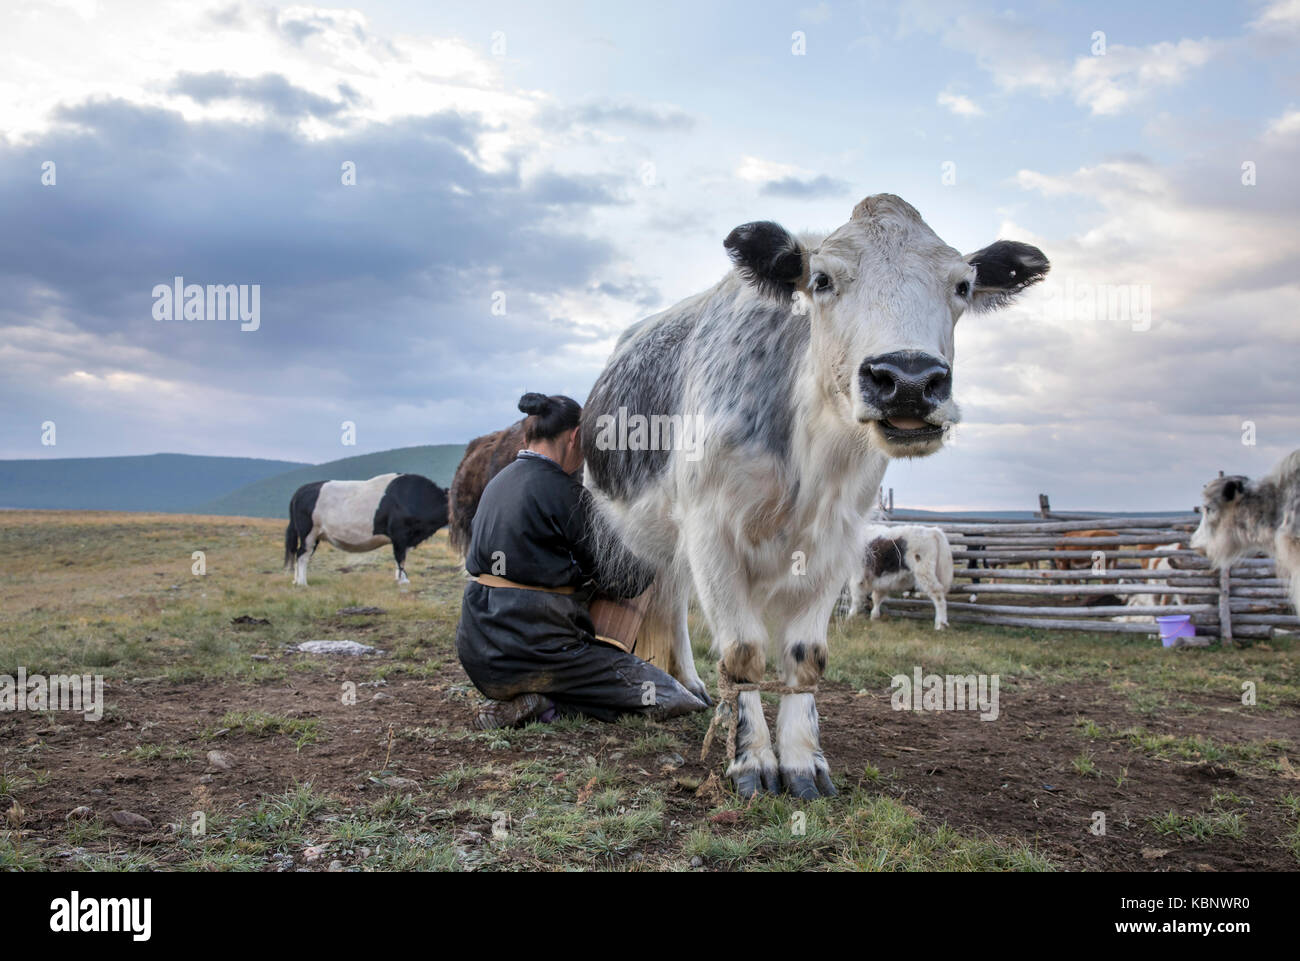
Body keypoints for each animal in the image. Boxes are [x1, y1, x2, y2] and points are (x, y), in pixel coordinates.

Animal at [284, 473, 449, 586]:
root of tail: (301, 490)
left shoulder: (407, 539)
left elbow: (401, 558)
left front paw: (399, 578)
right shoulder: (399, 534)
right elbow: (400, 558)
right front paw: (403, 581)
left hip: (315, 535)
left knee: (300, 554)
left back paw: (295, 581)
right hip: (308, 533)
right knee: (302, 554)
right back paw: (302, 583)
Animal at [582, 192, 1049, 798]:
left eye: (963, 285)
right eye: (822, 279)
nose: (909, 381)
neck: (808, 458)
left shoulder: (838, 542)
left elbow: (806, 658)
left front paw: (803, 760)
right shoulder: (712, 531)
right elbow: (743, 652)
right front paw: (752, 760)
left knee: (670, 598)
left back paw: (692, 686)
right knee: (673, 603)